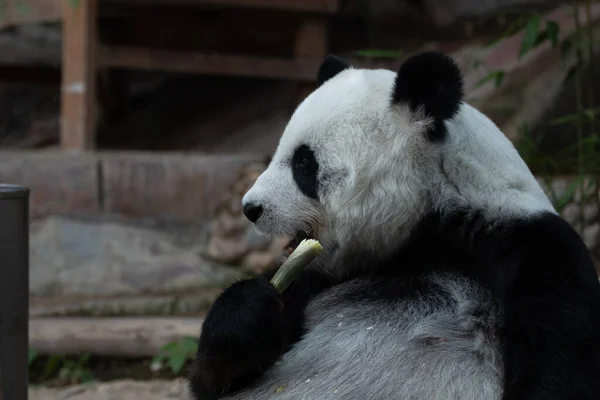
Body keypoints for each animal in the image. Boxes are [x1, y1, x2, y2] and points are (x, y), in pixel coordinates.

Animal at [190, 51, 600, 398]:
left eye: (304, 163)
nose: (251, 208)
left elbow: (561, 367)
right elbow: (218, 379)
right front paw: (249, 312)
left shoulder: (533, 252)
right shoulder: (318, 278)